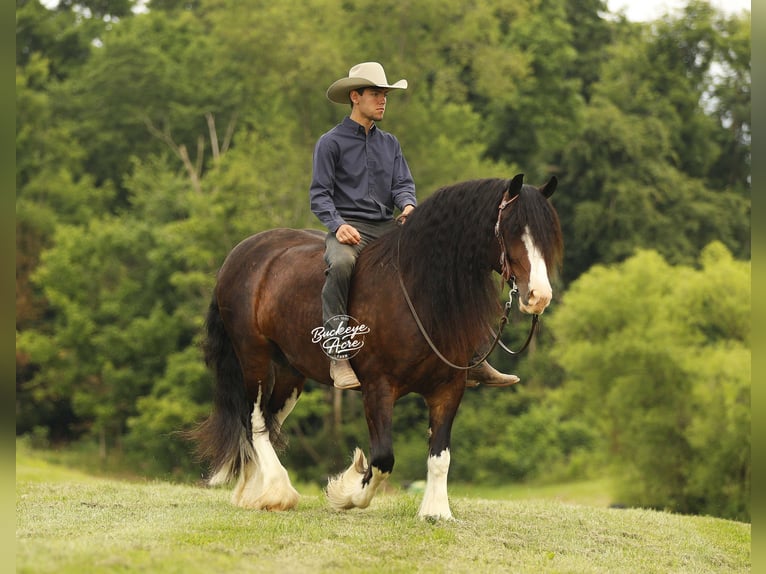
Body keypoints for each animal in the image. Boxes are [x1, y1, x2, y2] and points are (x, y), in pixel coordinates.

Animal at [188, 173, 563, 520]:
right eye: (511, 230)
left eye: (547, 235)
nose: (539, 296)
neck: (415, 291)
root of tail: (242, 254)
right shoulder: (377, 388)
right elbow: (383, 459)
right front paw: (346, 492)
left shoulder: (448, 388)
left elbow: (440, 457)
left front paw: (436, 512)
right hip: (253, 356)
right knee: (254, 420)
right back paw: (278, 491)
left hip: (290, 371)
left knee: (268, 419)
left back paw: (255, 492)